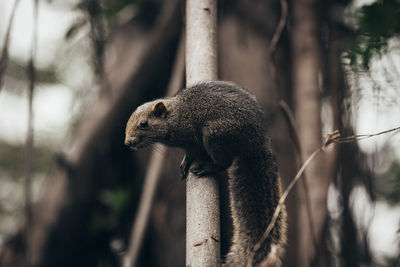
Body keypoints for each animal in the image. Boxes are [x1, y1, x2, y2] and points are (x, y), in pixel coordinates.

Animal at [126, 82, 286, 267]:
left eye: (144, 124)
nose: (127, 142)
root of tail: (257, 143)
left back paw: (207, 168)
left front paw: (187, 162)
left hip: (215, 135)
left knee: (224, 162)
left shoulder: (190, 139)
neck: (175, 115)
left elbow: (191, 152)